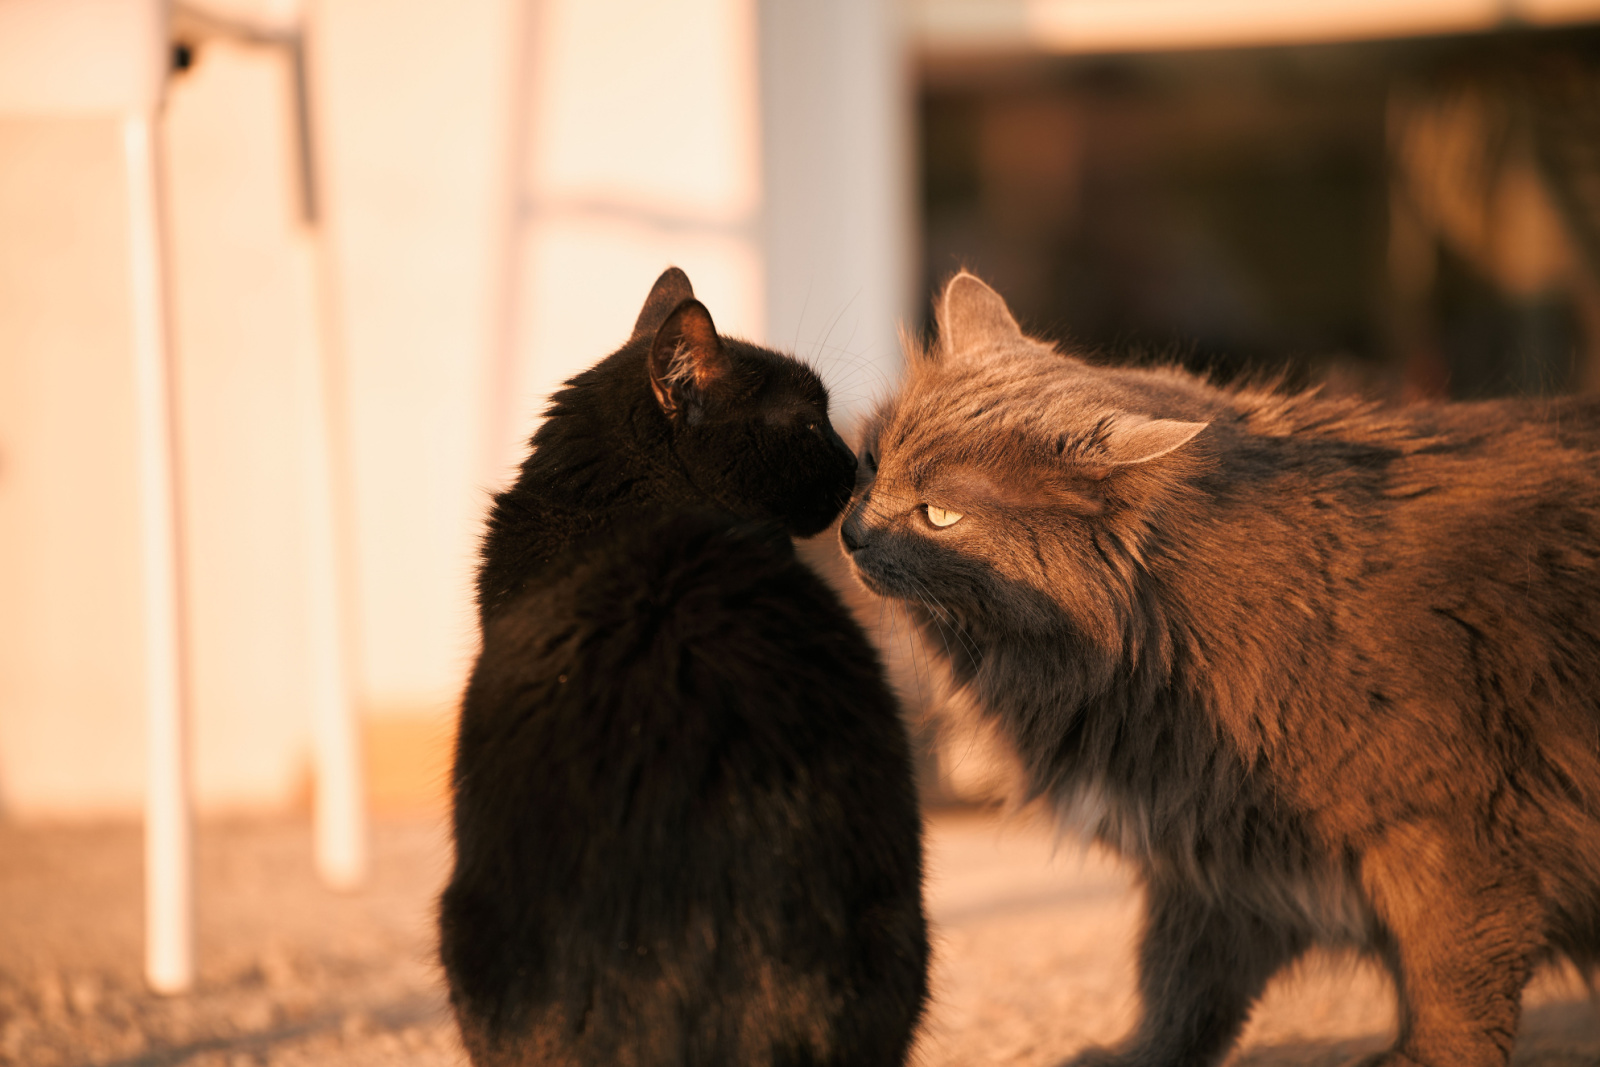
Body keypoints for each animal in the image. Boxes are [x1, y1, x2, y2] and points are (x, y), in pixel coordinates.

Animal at [851, 273, 1600, 1067]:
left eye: (939, 515)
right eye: (869, 463)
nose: (853, 533)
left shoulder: (1458, 833)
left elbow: (1453, 980)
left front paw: (1422, 1059)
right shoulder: (1211, 852)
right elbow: (1177, 986)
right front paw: (1132, 1057)